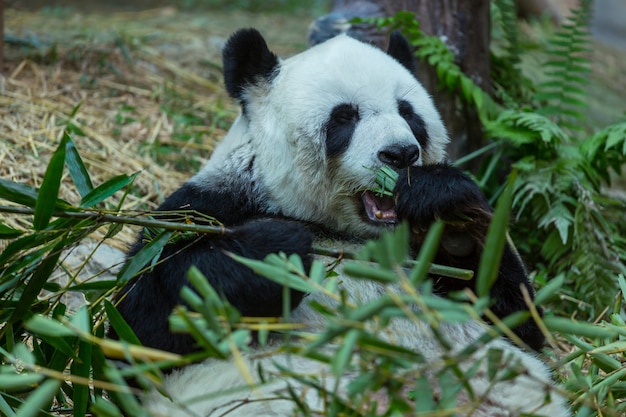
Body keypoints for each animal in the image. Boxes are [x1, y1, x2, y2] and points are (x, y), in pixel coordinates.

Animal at [109, 27, 568, 414]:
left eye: (409, 113)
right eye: (344, 117)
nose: (400, 154)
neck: (348, 234)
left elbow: (519, 320)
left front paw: (445, 208)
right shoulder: (209, 206)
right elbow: (138, 328)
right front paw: (274, 249)